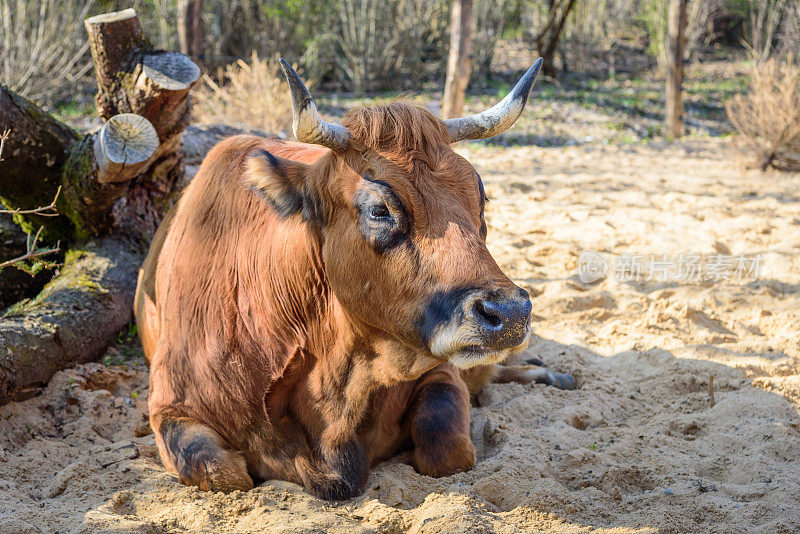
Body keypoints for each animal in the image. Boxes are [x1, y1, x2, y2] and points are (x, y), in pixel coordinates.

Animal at [138, 59, 576, 502]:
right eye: (379, 209)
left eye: (480, 197)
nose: (511, 312)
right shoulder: (170, 407)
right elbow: (223, 473)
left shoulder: (441, 373)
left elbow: (447, 447)